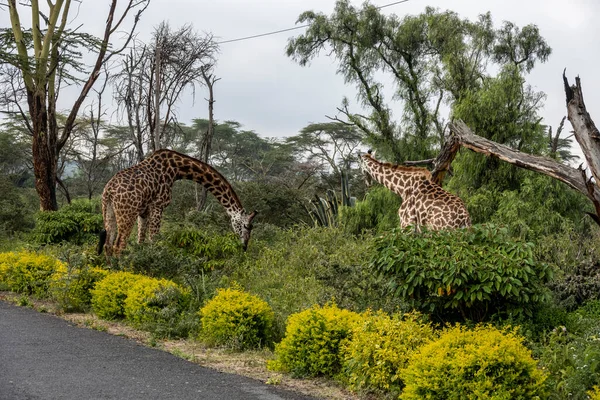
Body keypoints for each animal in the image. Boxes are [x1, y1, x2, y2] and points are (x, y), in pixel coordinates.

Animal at [98, 149, 258, 256]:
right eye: (246, 226)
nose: (244, 247)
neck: (177, 170)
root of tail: (109, 190)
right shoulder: (158, 206)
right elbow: (153, 240)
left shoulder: (143, 212)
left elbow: (140, 241)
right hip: (127, 213)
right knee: (119, 245)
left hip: (108, 210)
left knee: (108, 244)